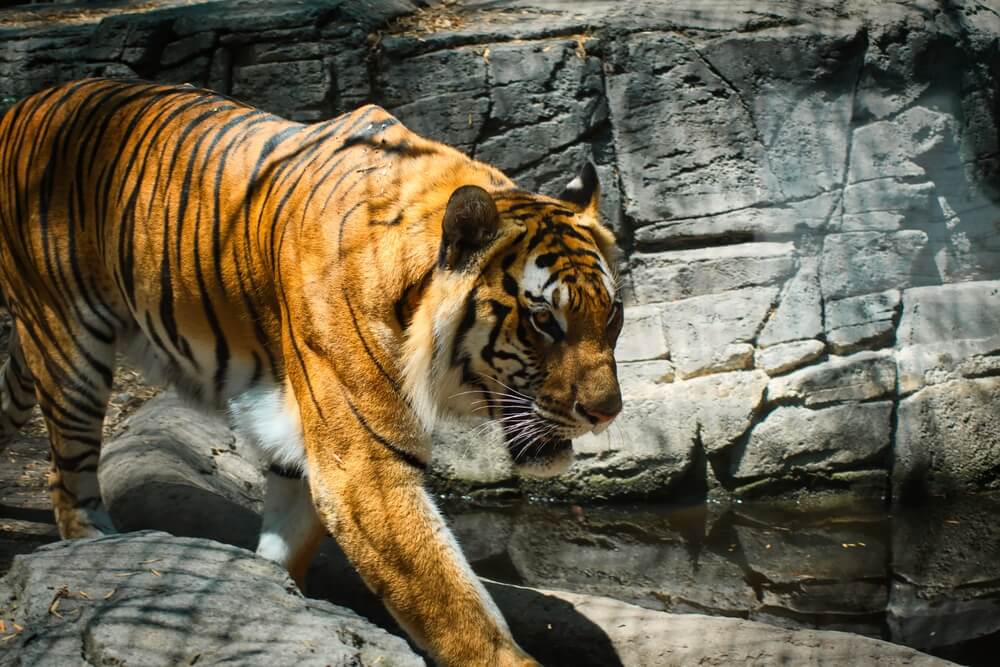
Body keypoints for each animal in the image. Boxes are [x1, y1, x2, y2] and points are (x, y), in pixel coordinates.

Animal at [0, 79, 624, 667]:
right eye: (543, 320)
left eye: (612, 314)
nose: (606, 412)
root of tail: (25, 104)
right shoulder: (366, 467)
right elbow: (453, 604)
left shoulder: (303, 444)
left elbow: (285, 542)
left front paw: (276, 599)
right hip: (69, 344)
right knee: (67, 480)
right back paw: (92, 543)